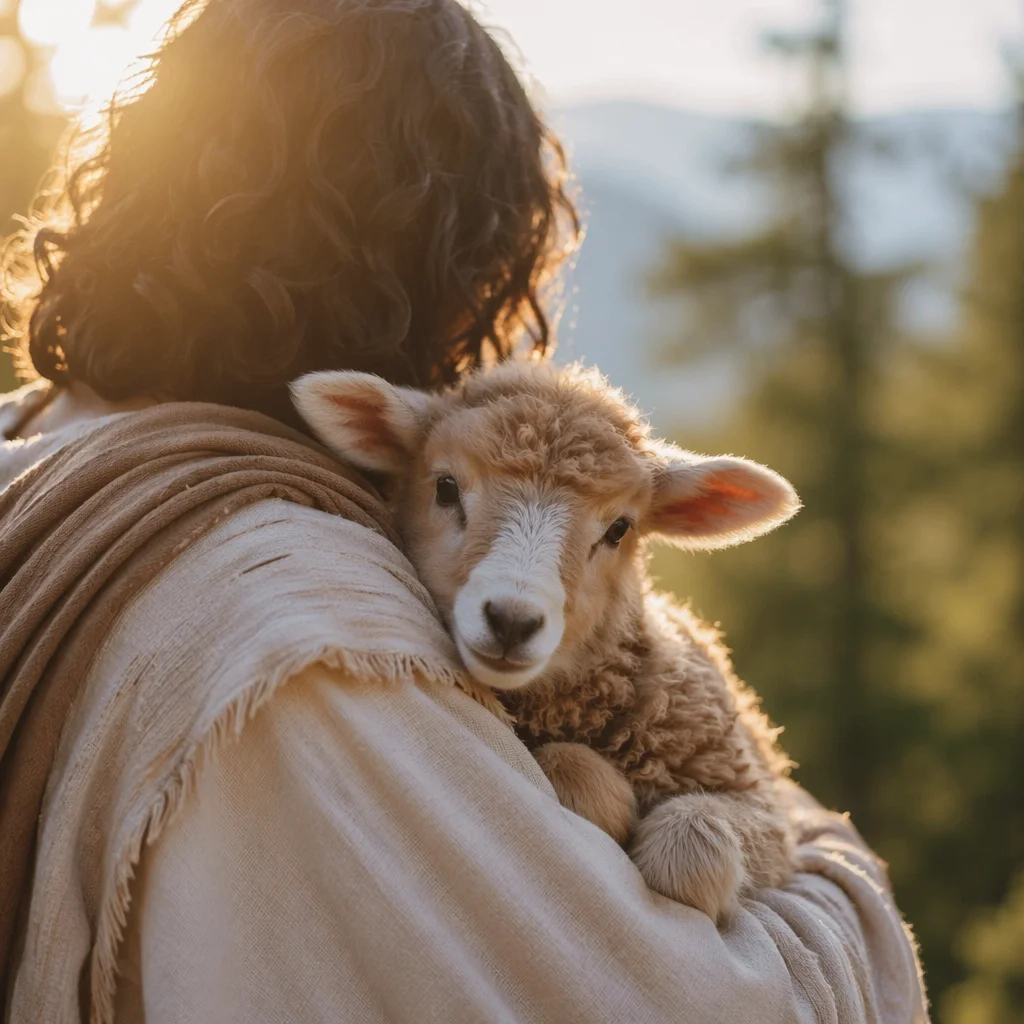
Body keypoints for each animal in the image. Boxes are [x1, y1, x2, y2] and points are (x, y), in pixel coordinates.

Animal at [291, 360, 802, 922]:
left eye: (620, 528)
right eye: (445, 488)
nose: (512, 621)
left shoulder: (759, 804)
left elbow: (687, 855)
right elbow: (567, 764)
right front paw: (607, 800)